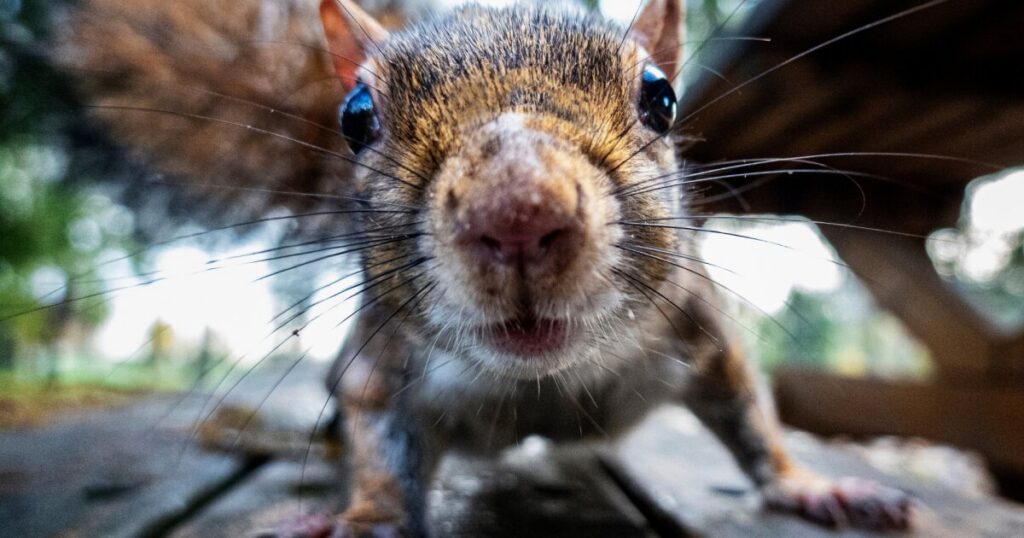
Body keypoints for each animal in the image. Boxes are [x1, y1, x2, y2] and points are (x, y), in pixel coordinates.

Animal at [54, 0, 914, 536]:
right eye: (355, 118)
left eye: (662, 98)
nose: (518, 215)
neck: (541, 382)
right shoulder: (377, 363)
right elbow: (376, 439)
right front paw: (365, 518)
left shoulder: (697, 327)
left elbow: (750, 418)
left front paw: (813, 485)